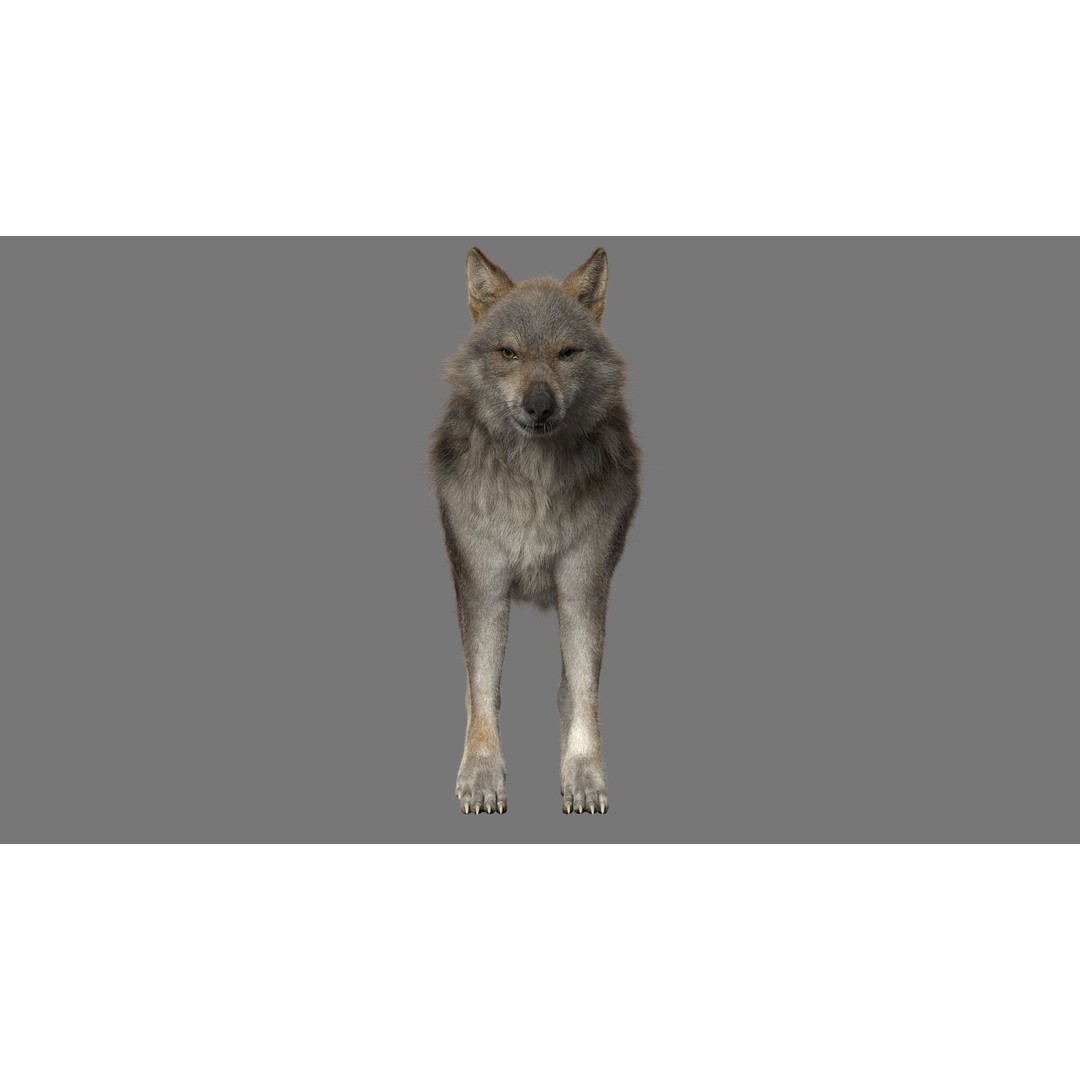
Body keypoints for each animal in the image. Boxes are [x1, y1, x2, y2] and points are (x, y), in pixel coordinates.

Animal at [428, 247, 641, 814]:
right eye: (509, 353)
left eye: (567, 353)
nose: (539, 405)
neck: (534, 484)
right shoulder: (483, 584)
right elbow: (483, 689)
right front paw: (481, 776)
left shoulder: (583, 584)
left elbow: (583, 691)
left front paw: (584, 776)